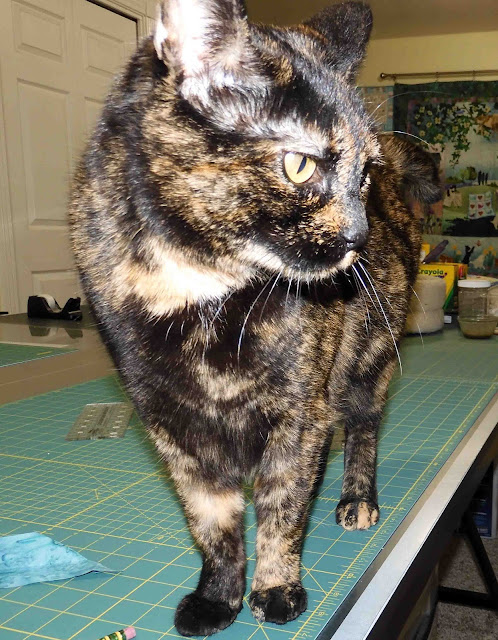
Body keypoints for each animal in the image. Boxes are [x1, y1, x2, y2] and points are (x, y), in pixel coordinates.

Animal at [69, 0, 441, 636]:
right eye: (299, 166)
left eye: (363, 176)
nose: (358, 238)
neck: (198, 295)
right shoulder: (171, 429)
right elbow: (211, 522)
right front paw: (218, 597)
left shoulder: (299, 415)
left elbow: (281, 507)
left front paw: (276, 588)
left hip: (367, 361)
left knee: (363, 425)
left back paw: (357, 498)